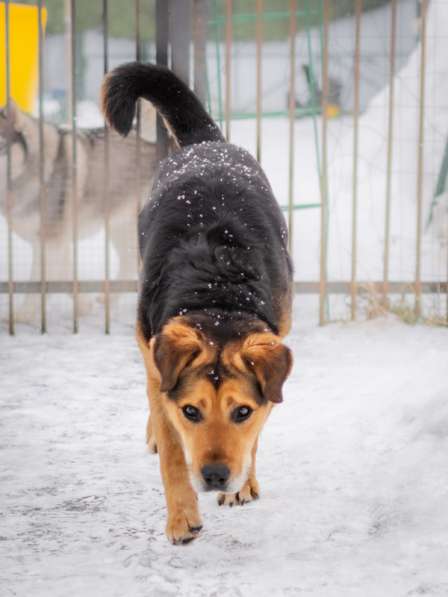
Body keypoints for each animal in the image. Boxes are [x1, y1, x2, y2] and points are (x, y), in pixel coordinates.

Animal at [101, 62, 294, 544]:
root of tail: (206, 143)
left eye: (241, 411)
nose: (215, 476)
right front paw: (182, 516)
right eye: (192, 411)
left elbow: (256, 434)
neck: (218, 292)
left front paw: (243, 484)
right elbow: (173, 449)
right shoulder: (160, 364)